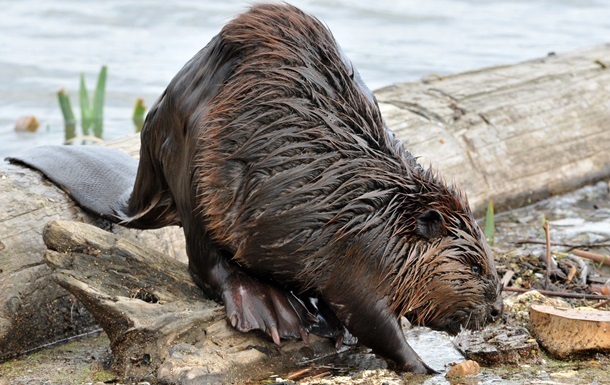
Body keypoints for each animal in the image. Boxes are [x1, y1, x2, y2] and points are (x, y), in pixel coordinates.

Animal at [8, 3, 498, 372]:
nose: (496, 309)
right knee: (206, 262)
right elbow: (372, 319)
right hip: (195, 167)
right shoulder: (356, 256)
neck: (378, 207)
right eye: (474, 267)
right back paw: (271, 308)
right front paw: (425, 366)